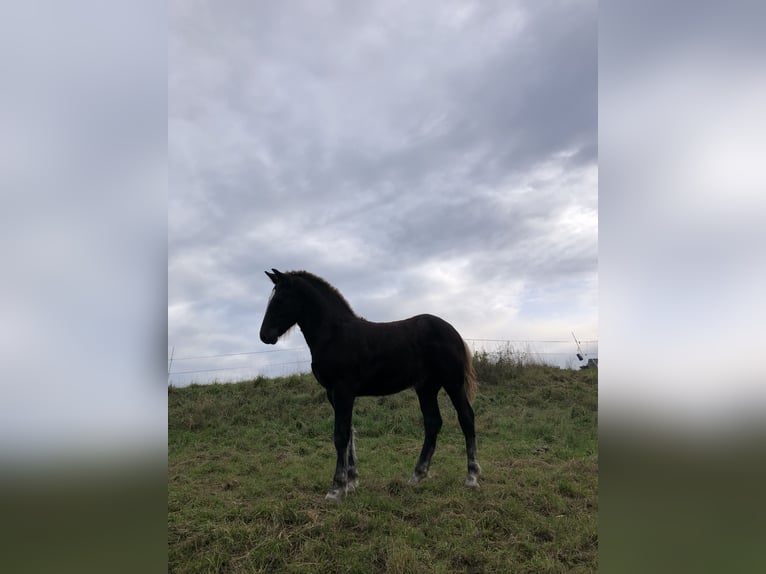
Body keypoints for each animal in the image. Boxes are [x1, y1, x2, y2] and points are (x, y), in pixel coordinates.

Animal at [259, 269, 481, 501]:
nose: (264, 335)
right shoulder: (333, 394)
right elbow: (349, 432)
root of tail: (453, 332)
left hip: (453, 383)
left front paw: (337, 488)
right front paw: (351, 482)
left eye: (280, 299)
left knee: (466, 418)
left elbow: (340, 435)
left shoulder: (343, 391)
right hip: (426, 388)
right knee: (432, 423)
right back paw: (417, 476)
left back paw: (471, 477)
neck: (334, 333)